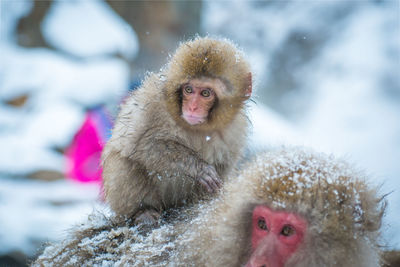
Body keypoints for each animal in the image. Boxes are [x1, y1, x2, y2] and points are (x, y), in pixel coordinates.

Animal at [101, 36, 252, 223]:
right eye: (188, 90)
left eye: (206, 93)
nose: (192, 107)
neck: (200, 128)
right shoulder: (153, 106)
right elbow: (144, 145)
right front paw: (199, 168)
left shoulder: (236, 128)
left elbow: (224, 163)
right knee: (124, 161)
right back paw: (143, 211)